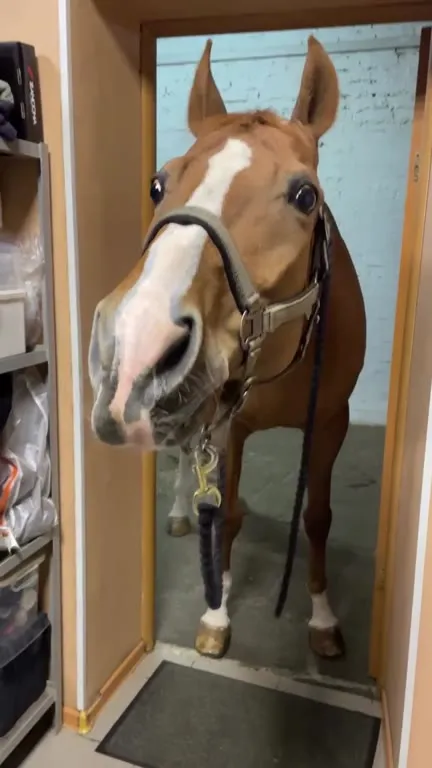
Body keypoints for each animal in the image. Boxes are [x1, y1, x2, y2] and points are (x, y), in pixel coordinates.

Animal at [88, 36, 366, 662]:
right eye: (158, 184)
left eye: (306, 195)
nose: (138, 340)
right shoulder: (227, 425)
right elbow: (228, 513)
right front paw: (217, 612)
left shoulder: (330, 421)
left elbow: (317, 517)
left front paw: (321, 617)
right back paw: (177, 513)